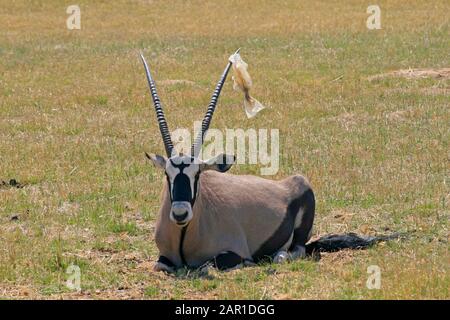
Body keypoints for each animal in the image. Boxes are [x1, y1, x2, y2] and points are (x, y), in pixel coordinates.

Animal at [140, 50, 398, 272]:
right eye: (167, 175)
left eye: (198, 174)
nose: (180, 214)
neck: (185, 235)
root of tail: (293, 181)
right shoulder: (163, 259)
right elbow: (160, 265)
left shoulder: (234, 253)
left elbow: (208, 265)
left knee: (295, 251)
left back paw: (277, 256)